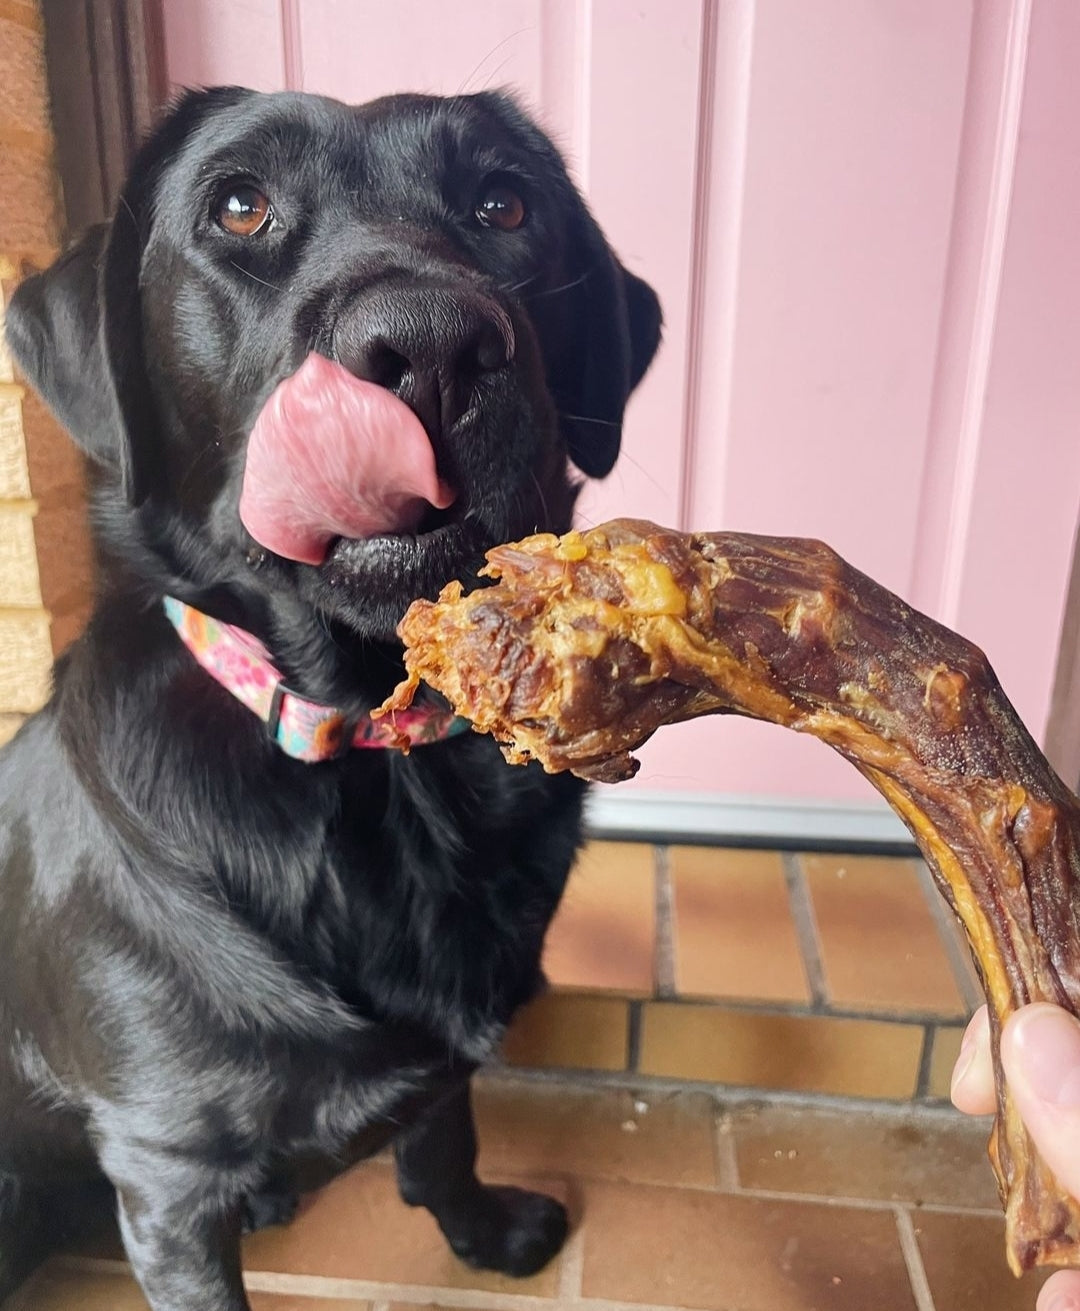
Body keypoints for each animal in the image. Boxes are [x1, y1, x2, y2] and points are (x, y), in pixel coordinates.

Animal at [0, 87, 663, 1305]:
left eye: (505, 203)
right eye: (239, 206)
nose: (434, 343)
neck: (374, 754)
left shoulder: (441, 1065)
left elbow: (446, 1138)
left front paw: (482, 1232)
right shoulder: (167, 1166)